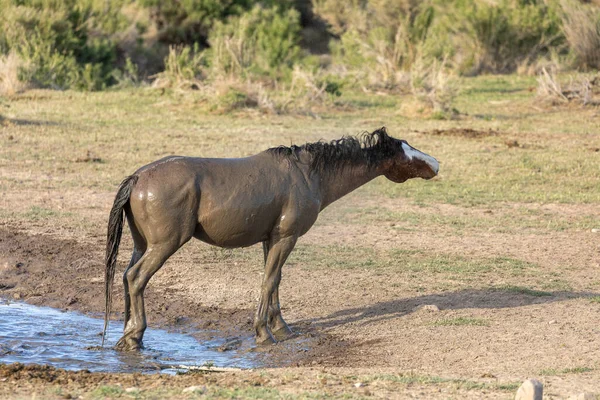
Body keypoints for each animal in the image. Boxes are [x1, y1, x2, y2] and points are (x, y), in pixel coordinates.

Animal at [103, 128, 438, 350]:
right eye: (404, 152)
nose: (435, 164)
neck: (308, 174)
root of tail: (138, 178)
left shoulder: (271, 239)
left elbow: (274, 280)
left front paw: (282, 327)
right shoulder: (286, 237)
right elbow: (269, 280)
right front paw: (264, 333)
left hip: (142, 245)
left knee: (125, 276)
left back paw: (127, 334)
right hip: (164, 245)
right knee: (136, 278)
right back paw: (135, 337)